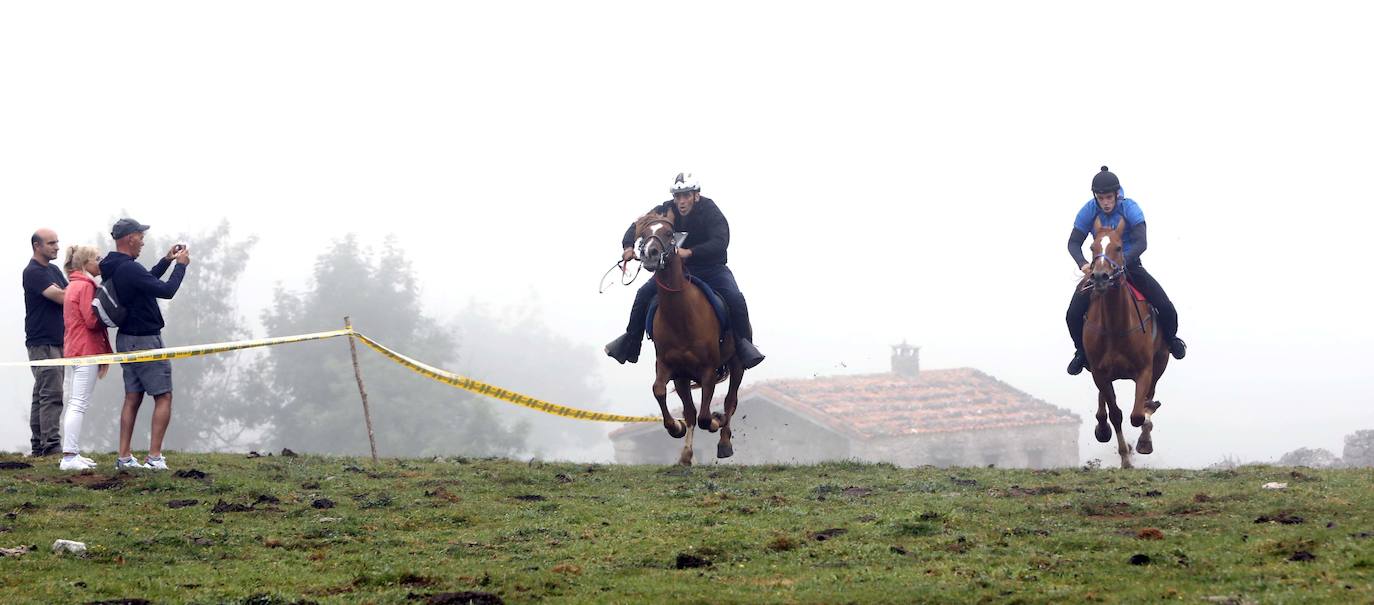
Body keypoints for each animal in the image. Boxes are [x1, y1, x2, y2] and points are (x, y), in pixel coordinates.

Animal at [634, 210, 747, 464]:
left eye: (669, 233)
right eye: (644, 233)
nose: (650, 254)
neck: (681, 316)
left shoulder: (707, 370)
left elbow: (705, 416)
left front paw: (715, 421)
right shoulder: (672, 369)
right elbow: (663, 394)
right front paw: (678, 430)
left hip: (737, 365)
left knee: (731, 401)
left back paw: (724, 441)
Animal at [1082, 217, 1170, 467]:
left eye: (1119, 247)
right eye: (1092, 247)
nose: (1099, 277)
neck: (1115, 327)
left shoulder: (1145, 370)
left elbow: (1138, 415)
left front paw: (1143, 441)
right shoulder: (1099, 372)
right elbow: (1116, 414)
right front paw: (1125, 459)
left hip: (1160, 363)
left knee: (1148, 399)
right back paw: (1102, 428)